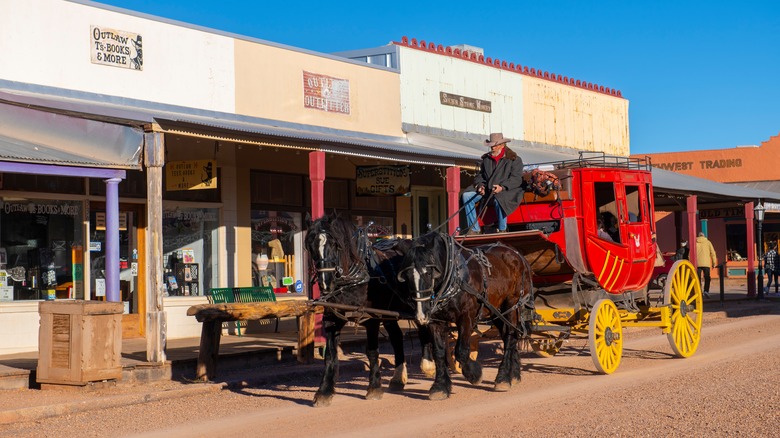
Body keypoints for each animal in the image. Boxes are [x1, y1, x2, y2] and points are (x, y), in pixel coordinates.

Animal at [304, 212, 430, 408]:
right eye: (310, 244)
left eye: (335, 243)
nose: (326, 283)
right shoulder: (332, 318)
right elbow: (330, 355)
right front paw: (324, 392)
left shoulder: (371, 318)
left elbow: (371, 351)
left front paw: (374, 388)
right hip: (390, 313)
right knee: (397, 337)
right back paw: (397, 378)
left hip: (418, 305)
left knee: (426, 331)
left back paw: (429, 365)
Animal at [400, 233, 532, 400]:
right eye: (407, 276)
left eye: (429, 272)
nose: (421, 314)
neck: (454, 277)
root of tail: (516, 253)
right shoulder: (435, 322)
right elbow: (439, 352)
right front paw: (440, 386)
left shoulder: (466, 317)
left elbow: (461, 351)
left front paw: (474, 374)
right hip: (496, 311)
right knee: (511, 336)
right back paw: (514, 374)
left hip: (511, 305)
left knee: (509, 337)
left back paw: (502, 378)